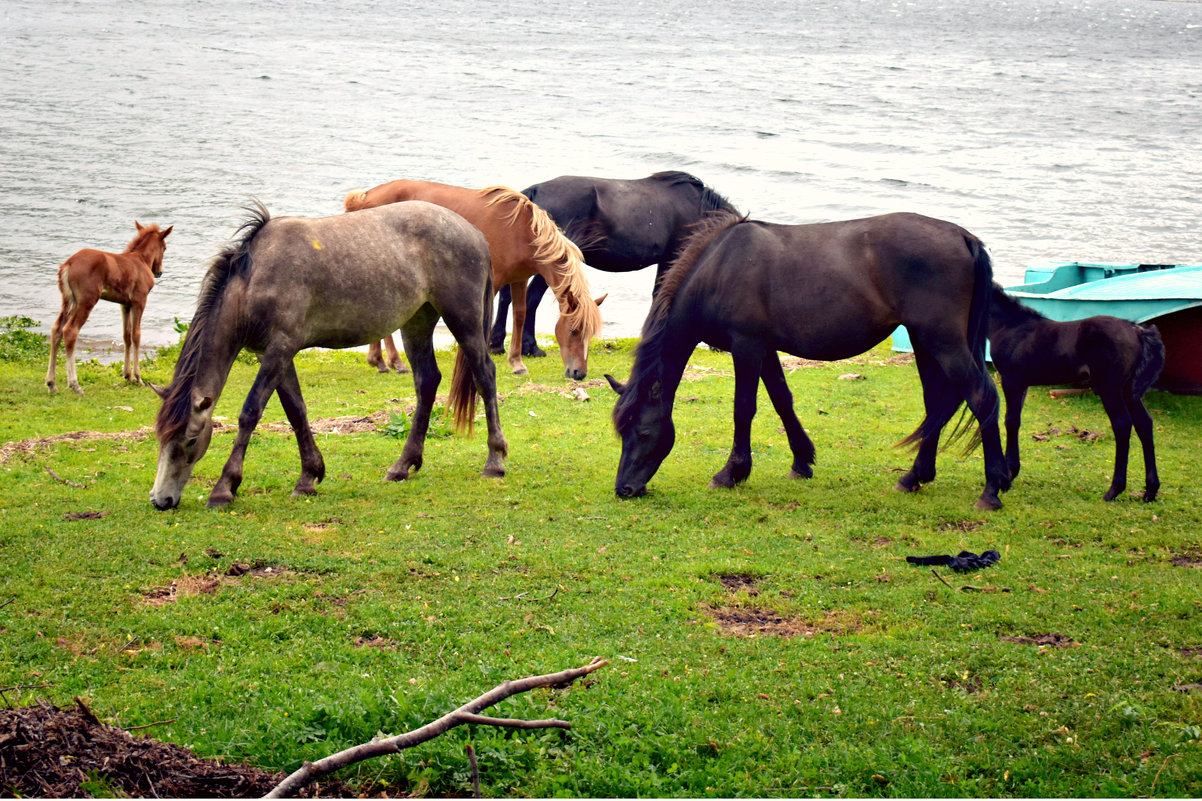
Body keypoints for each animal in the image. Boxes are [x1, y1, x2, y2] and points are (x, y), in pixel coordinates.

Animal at [46, 220, 173, 394]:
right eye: (165, 247)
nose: (159, 271)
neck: (142, 260)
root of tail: (68, 264)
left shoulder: (125, 304)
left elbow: (126, 336)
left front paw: (127, 375)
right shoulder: (140, 301)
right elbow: (136, 335)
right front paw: (138, 378)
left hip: (68, 301)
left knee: (56, 329)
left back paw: (51, 383)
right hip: (86, 301)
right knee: (70, 330)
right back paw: (74, 384)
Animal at [150, 200, 507, 512]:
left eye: (190, 440)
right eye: (160, 439)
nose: (160, 500)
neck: (255, 278)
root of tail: (475, 233)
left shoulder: (280, 348)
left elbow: (250, 412)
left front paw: (224, 488)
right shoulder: (277, 353)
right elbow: (296, 410)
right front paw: (309, 477)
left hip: (463, 320)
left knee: (485, 375)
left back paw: (494, 461)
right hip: (417, 322)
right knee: (427, 382)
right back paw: (403, 465)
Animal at [343, 180, 605, 380]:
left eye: (590, 334)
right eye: (573, 331)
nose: (579, 373)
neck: (520, 230)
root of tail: (365, 198)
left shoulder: (519, 279)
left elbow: (519, 315)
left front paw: (517, 363)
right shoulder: (494, 282)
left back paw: (379, 361)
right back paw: (395, 362)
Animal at [490, 171, 735, 356]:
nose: (722, 347)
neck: (699, 209)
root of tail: (533, 195)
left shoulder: (665, 260)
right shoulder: (672, 257)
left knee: (508, 297)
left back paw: (497, 344)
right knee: (530, 298)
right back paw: (531, 348)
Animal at [605, 209, 1009, 507]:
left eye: (643, 432)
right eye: (621, 432)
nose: (625, 489)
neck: (720, 268)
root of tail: (964, 237)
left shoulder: (746, 347)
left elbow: (744, 408)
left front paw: (731, 473)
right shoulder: (764, 348)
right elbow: (782, 400)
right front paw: (801, 462)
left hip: (943, 342)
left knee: (981, 398)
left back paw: (991, 489)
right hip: (926, 343)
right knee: (935, 407)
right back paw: (915, 477)